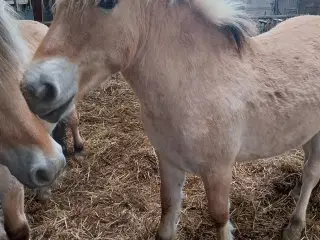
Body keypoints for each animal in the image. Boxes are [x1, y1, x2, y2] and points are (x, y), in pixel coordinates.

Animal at [21, 0, 320, 240]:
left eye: (107, 2)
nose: (35, 89)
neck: (196, 84)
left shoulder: (219, 170)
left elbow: (220, 217)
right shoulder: (169, 161)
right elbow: (168, 210)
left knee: (311, 172)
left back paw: (294, 226)